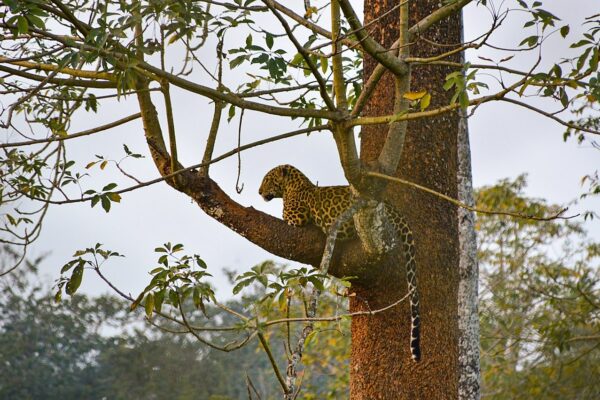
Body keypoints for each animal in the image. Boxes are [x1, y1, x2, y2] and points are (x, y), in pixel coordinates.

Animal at [258, 164, 422, 360]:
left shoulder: (295, 217)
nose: (259, 192)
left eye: (267, 179)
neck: (293, 186)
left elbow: (284, 215)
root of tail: (393, 209)